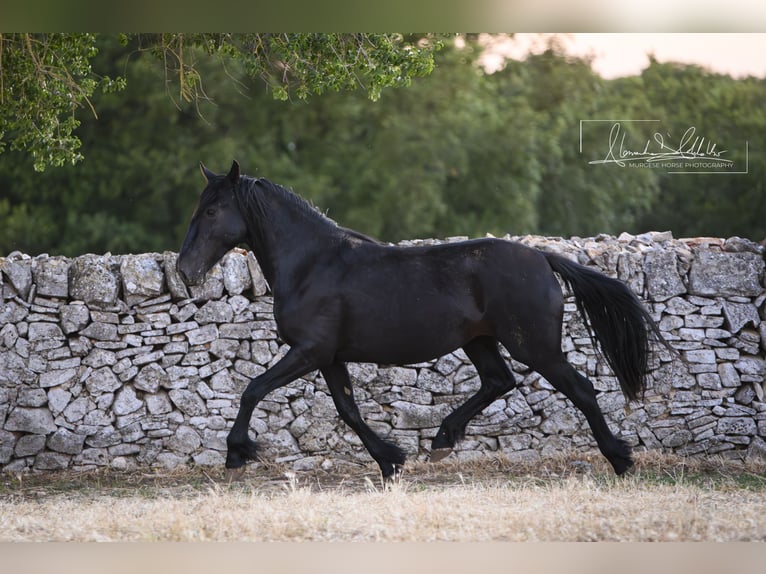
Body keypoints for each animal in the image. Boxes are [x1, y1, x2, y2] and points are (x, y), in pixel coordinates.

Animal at [177, 160, 670, 481]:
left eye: (212, 210)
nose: (184, 270)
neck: (312, 264)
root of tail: (542, 259)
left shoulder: (309, 351)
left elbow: (252, 389)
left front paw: (236, 455)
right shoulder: (329, 357)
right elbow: (349, 410)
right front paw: (391, 461)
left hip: (535, 347)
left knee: (580, 390)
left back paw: (620, 460)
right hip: (480, 341)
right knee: (498, 381)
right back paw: (442, 441)